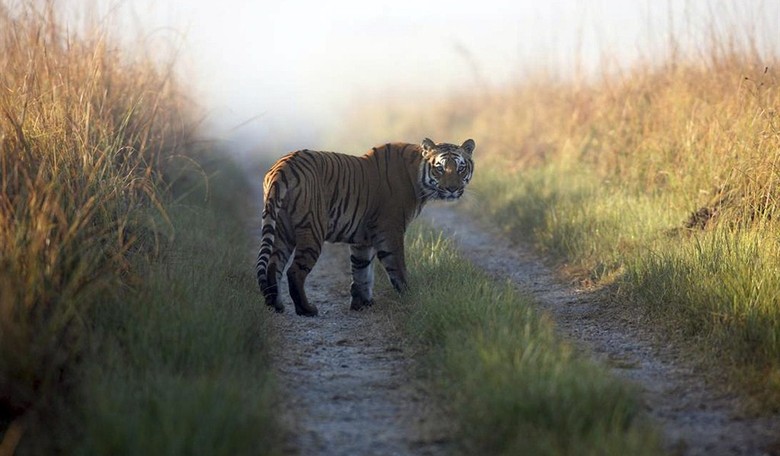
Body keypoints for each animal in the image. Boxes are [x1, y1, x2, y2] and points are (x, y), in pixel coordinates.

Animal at [255, 137, 475, 316]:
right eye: (439, 168)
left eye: (461, 168)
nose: (452, 189)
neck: (417, 176)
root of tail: (282, 168)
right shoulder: (391, 230)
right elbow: (397, 267)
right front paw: (411, 297)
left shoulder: (363, 239)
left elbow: (361, 270)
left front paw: (362, 304)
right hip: (312, 230)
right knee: (294, 272)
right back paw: (306, 310)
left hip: (283, 230)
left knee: (273, 265)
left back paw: (276, 305)